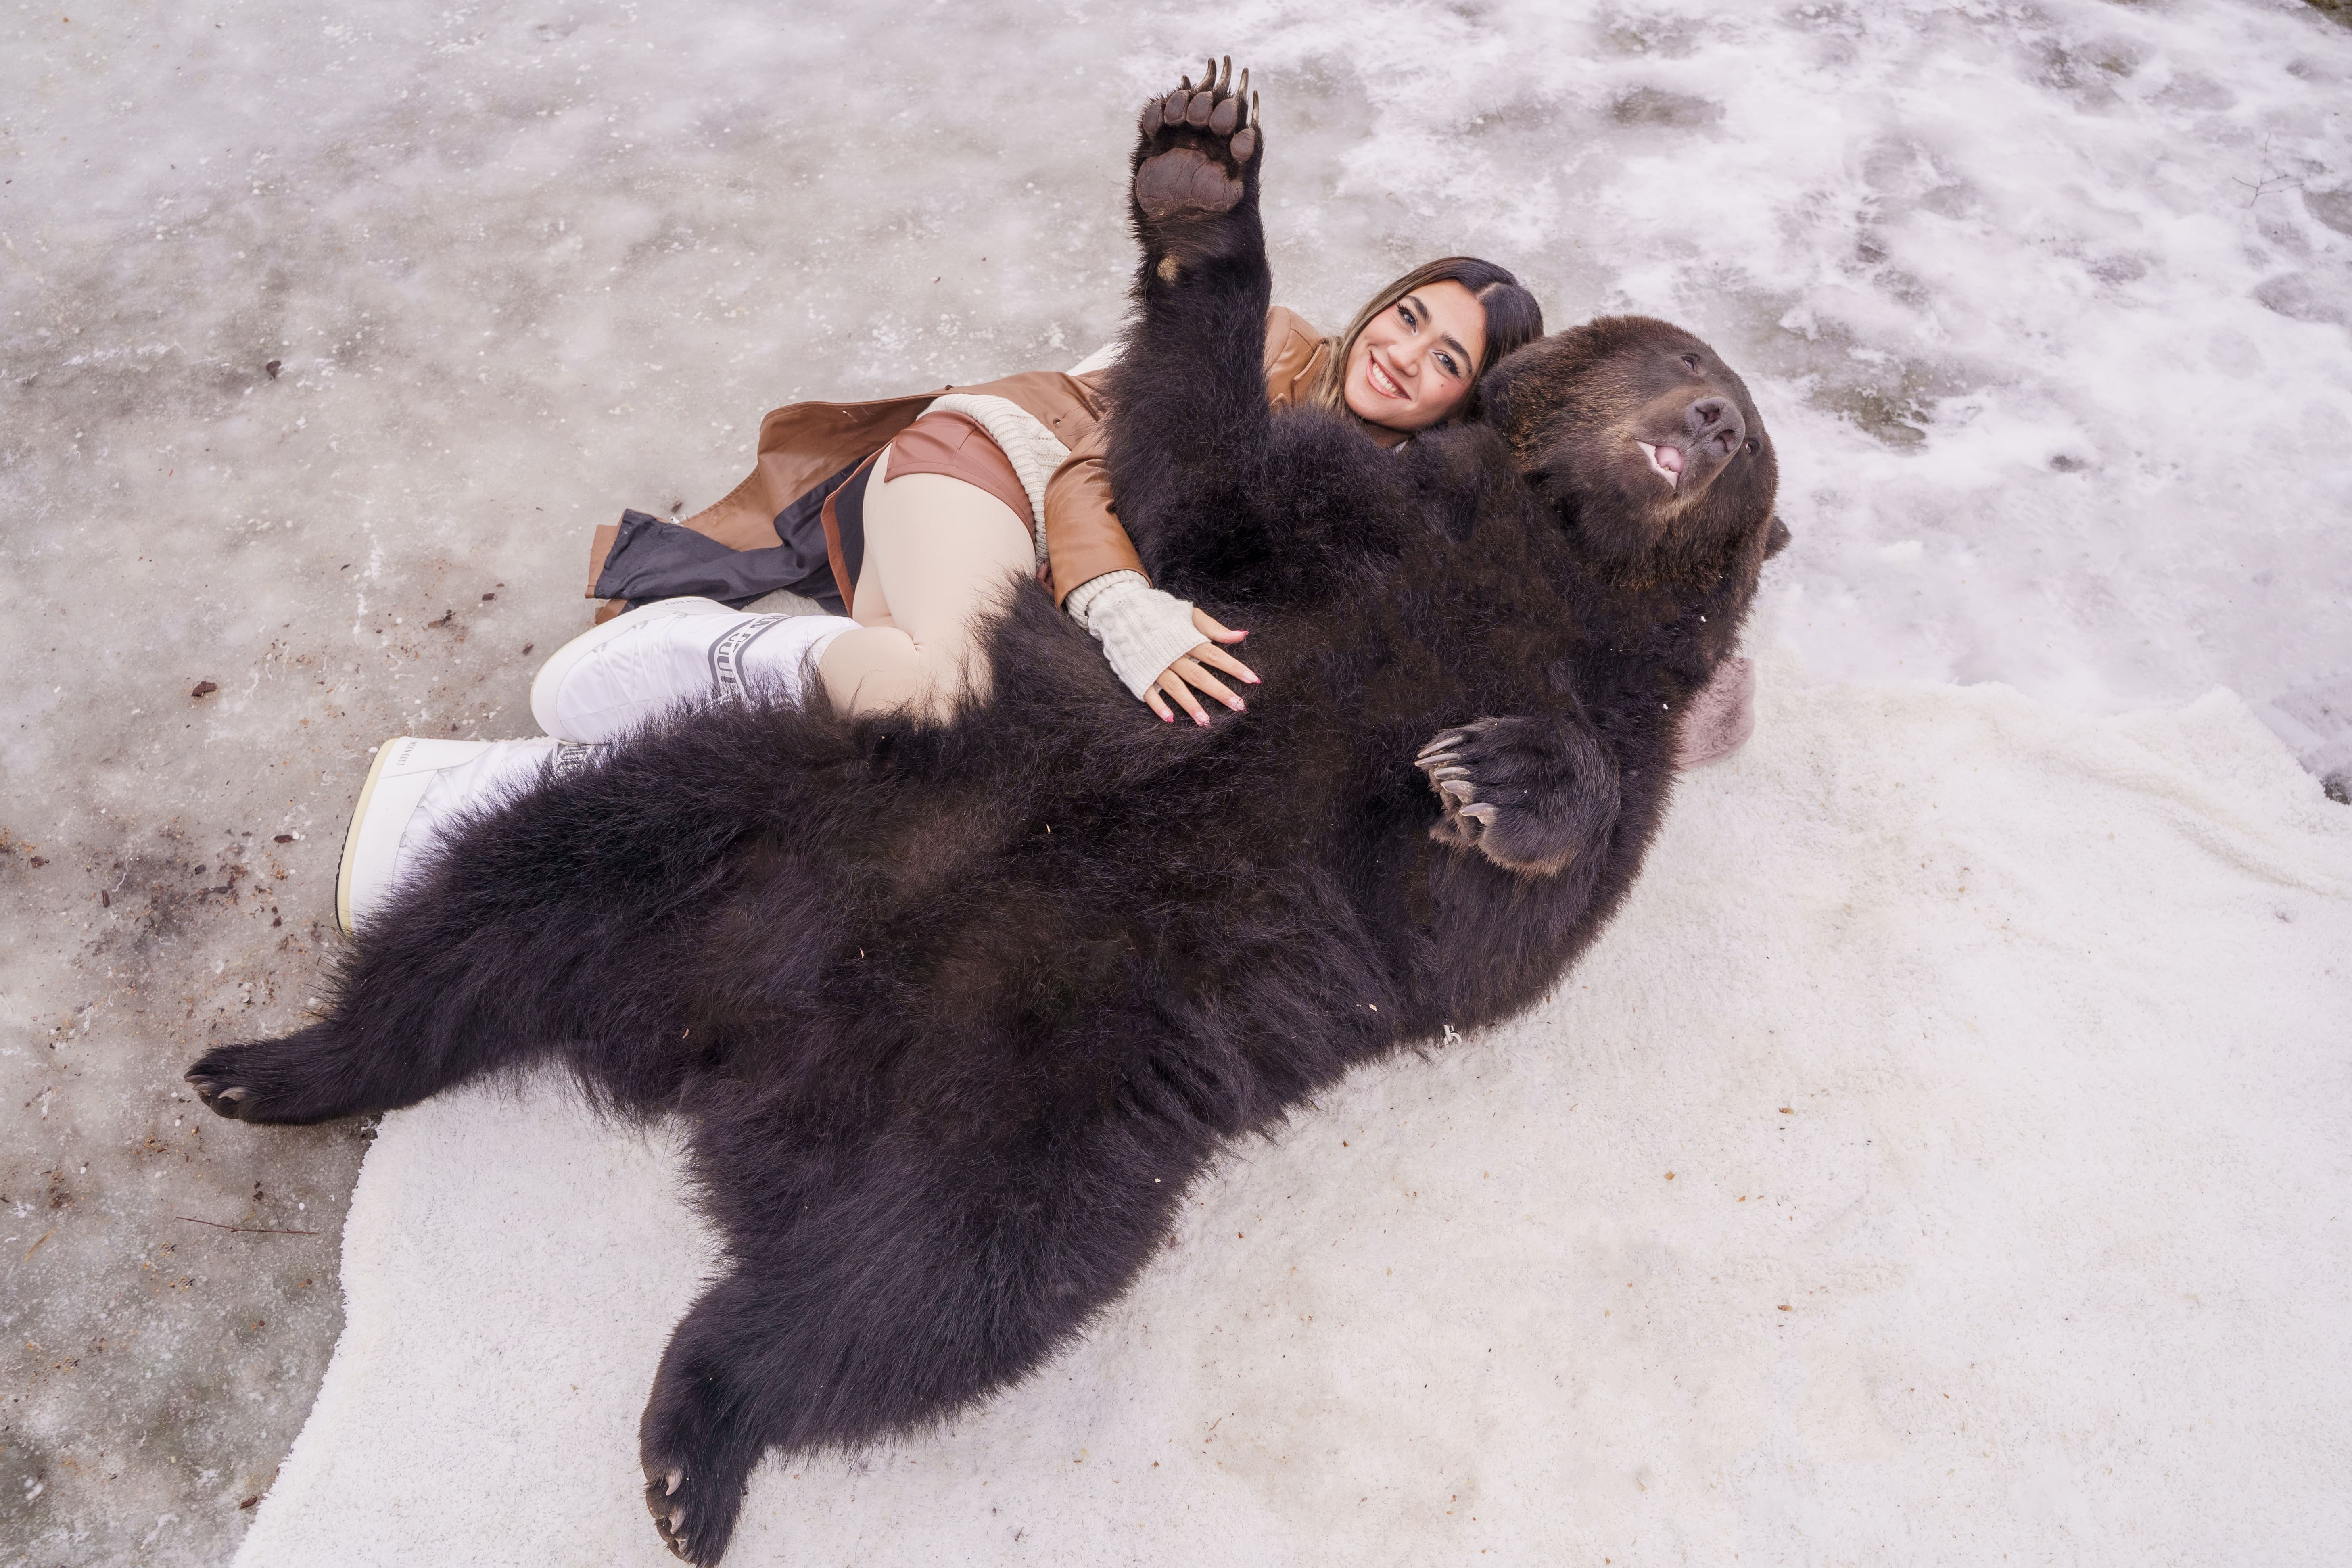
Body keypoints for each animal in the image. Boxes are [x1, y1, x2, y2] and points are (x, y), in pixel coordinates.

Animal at [186, 61, 1782, 1565]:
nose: (1710, 417)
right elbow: (1192, 479)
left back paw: (697, 1436)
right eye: (1683, 358)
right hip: (776, 815)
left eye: (1749, 425)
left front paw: (1495, 776)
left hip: (1057, 1068)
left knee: (931, 1274)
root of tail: (730, 1044)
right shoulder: (1350, 523)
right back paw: (281, 1062)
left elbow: (1496, 917)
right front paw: (1202, 172)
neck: (1543, 555)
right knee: (521, 892)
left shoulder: (1606, 709)